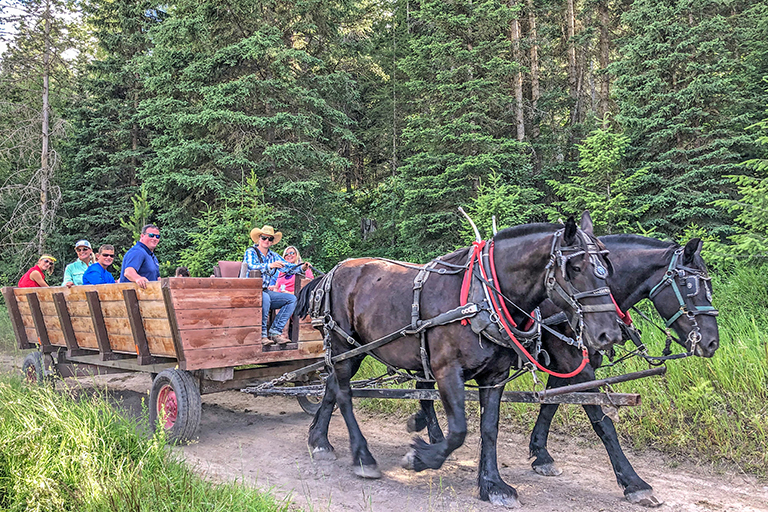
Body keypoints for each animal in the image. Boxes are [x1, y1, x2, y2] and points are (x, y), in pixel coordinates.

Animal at [296, 214, 624, 506]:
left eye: (607, 268)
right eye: (576, 267)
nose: (608, 333)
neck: (483, 297)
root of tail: (331, 273)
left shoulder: (495, 376)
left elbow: (489, 428)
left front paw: (493, 485)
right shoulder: (446, 370)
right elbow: (458, 431)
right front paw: (421, 457)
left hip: (350, 351)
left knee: (332, 386)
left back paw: (319, 440)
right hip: (344, 346)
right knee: (345, 395)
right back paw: (362, 456)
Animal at [408, 234, 720, 506]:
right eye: (690, 285)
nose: (712, 342)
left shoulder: (565, 367)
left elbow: (550, 405)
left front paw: (541, 454)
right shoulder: (571, 363)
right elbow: (602, 422)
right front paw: (634, 483)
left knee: (422, 387)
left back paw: (427, 430)